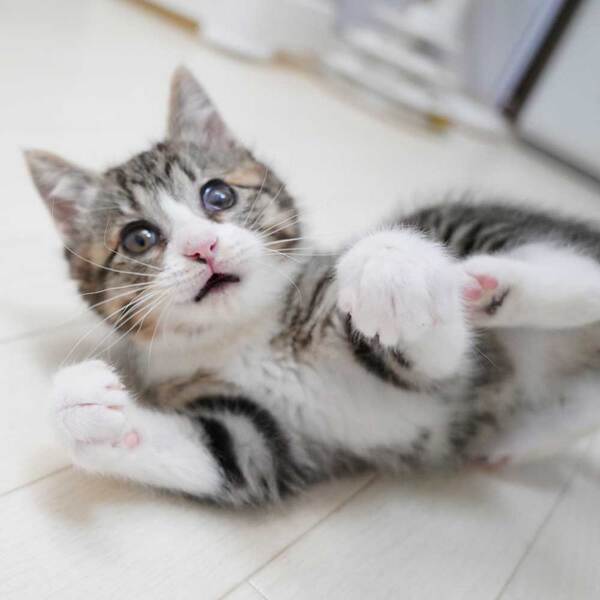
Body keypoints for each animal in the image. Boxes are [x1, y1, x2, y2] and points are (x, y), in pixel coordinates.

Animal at [25, 67, 600, 506]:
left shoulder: (427, 365)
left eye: (218, 195)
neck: (244, 335)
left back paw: (489, 281)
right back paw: (519, 436)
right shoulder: (262, 436)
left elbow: (428, 351)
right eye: (140, 238)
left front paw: (388, 268)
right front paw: (82, 408)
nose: (202, 247)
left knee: (582, 274)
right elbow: (223, 453)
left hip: (463, 225)